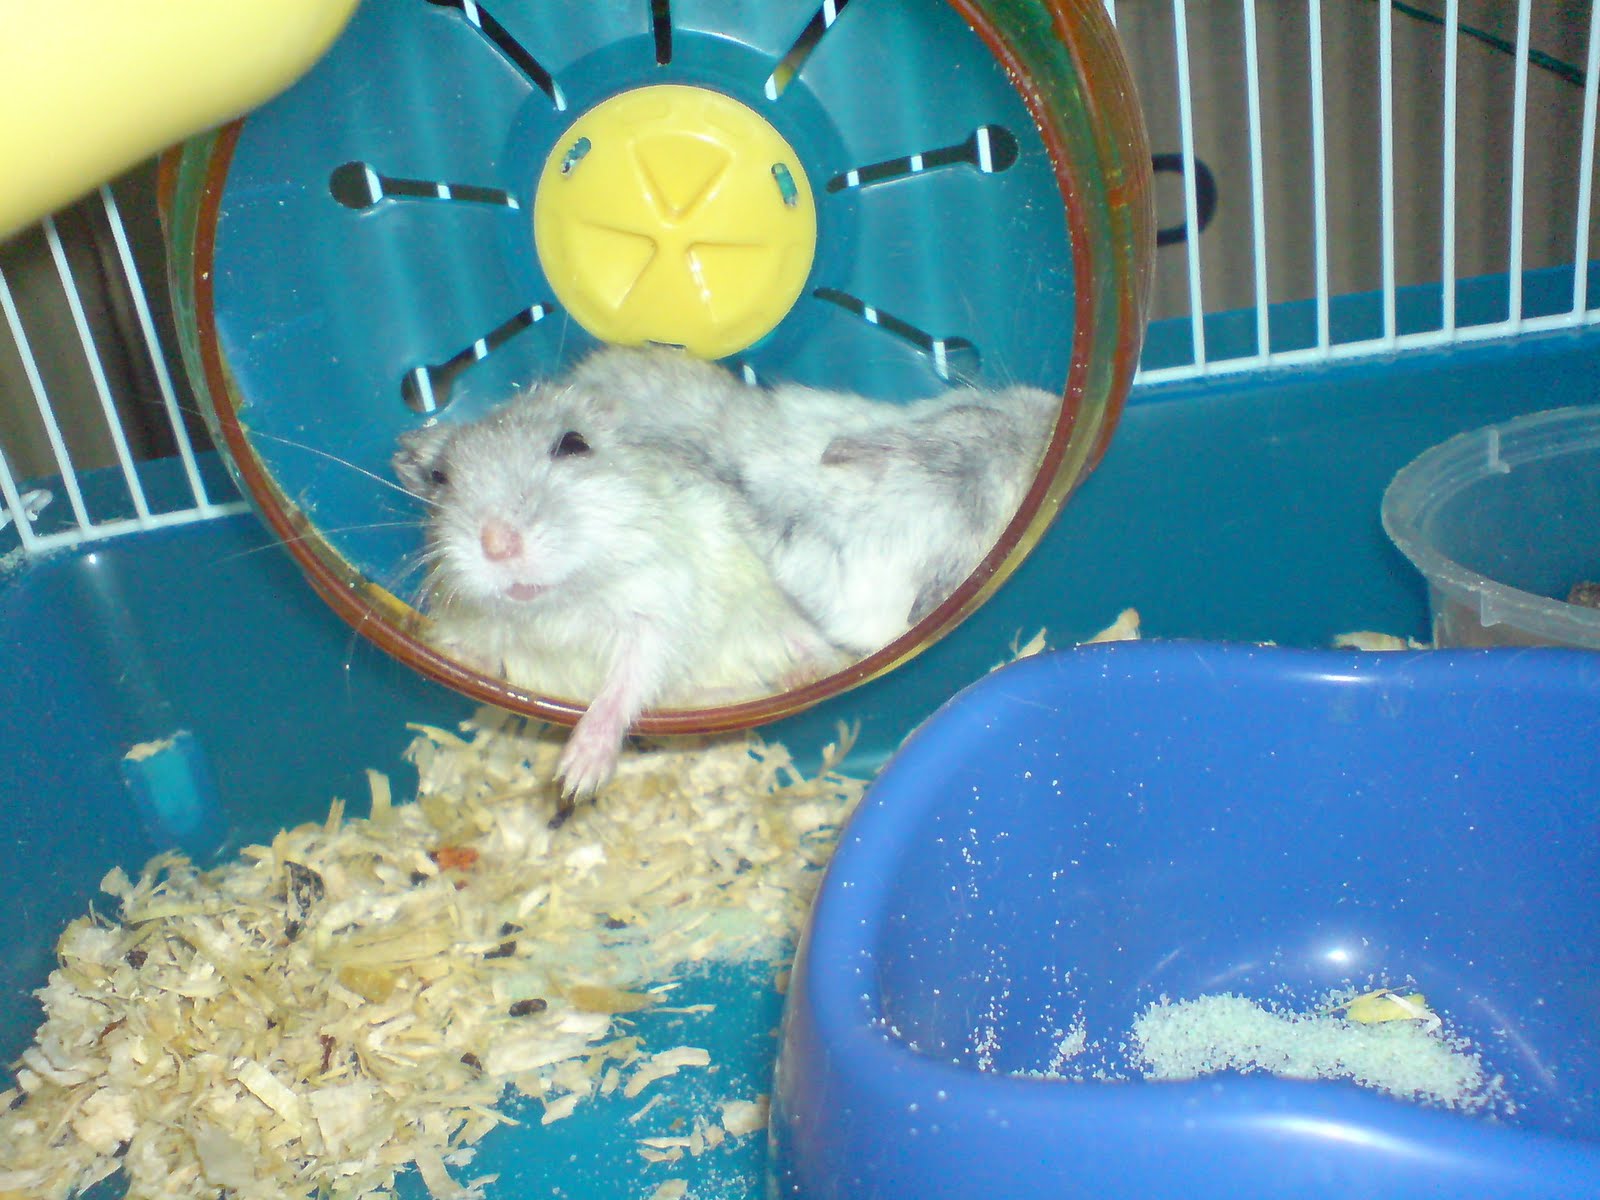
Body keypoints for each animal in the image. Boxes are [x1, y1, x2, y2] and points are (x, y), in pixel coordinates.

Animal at [393, 379, 849, 802]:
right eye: (440, 477)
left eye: (574, 444)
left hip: (774, 607)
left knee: (812, 649)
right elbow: (483, 659)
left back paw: (796, 677)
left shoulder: (658, 614)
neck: (556, 607)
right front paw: (451, 661)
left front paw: (575, 779)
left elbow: (626, 684)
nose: (496, 543)